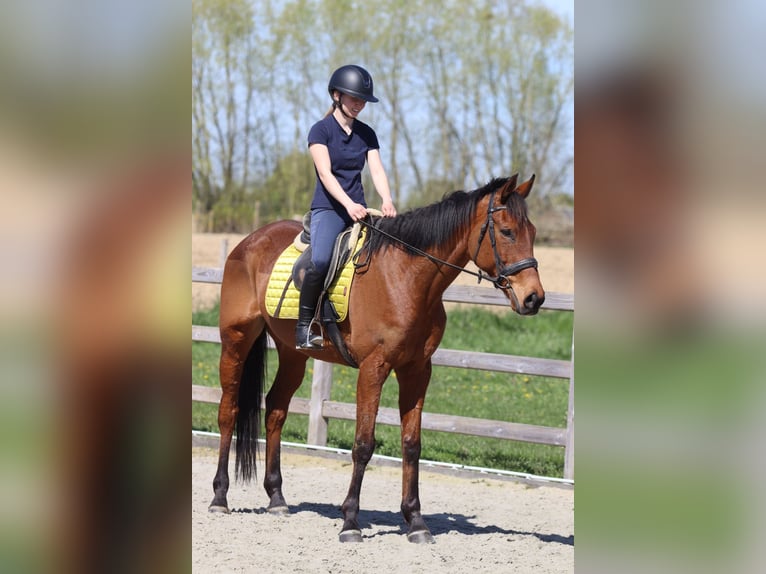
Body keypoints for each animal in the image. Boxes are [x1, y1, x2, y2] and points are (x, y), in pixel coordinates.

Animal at [208, 174, 545, 543]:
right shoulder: (373, 368)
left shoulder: (417, 371)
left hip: (293, 353)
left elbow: (411, 444)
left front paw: (416, 521)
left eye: (532, 232)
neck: (406, 278)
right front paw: (350, 522)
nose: (534, 298)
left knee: (275, 411)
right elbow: (364, 444)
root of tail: (248, 242)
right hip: (236, 341)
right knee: (229, 411)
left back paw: (277, 499)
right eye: (507, 232)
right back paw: (220, 497)